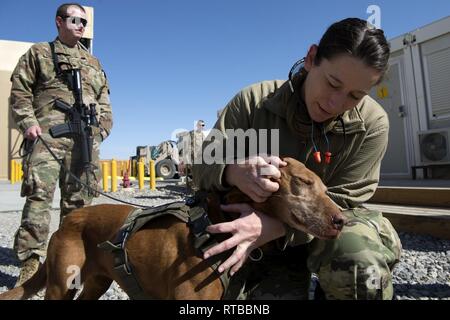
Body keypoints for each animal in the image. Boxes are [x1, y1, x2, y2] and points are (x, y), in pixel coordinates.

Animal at [0, 158, 344, 300]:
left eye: (326, 188)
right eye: (303, 182)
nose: (341, 220)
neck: (214, 224)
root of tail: (69, 220)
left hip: (95, 283)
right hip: (61, 285)